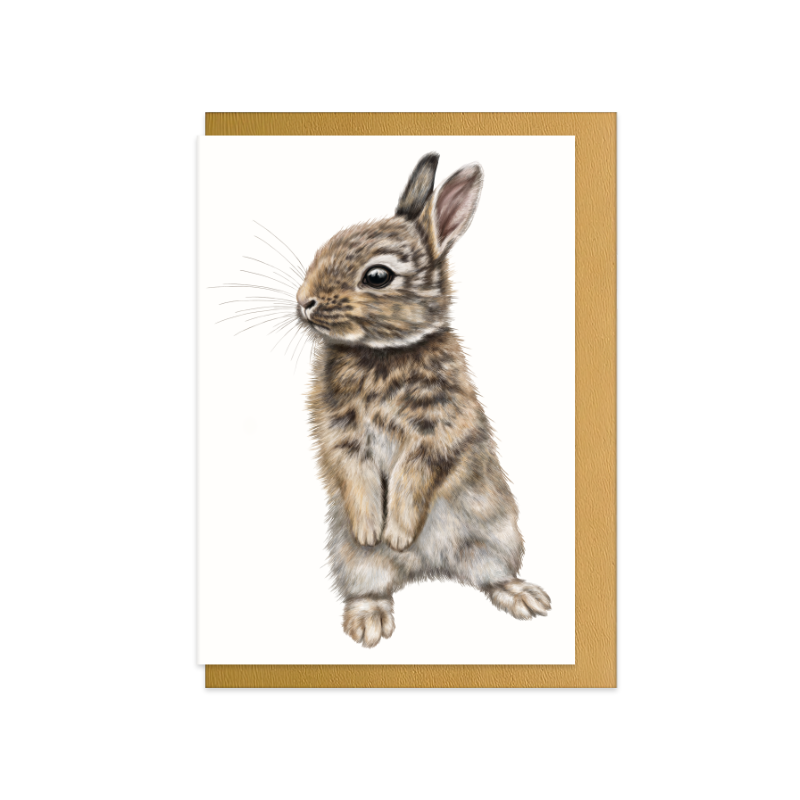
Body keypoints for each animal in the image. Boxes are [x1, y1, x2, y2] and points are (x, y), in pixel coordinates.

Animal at [295, 153, 551, 647]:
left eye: (377, 276)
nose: (304, 301)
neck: (384, 352)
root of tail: (427, 569)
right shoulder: (342, 435)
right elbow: (355, 475)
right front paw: (373, 530)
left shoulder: (437, 431)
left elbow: (413, 479)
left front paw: (397, 533)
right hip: (351, 558)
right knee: (371, 583)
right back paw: (369, 621)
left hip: (498, 536)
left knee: (490, 575)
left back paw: (523, 596)